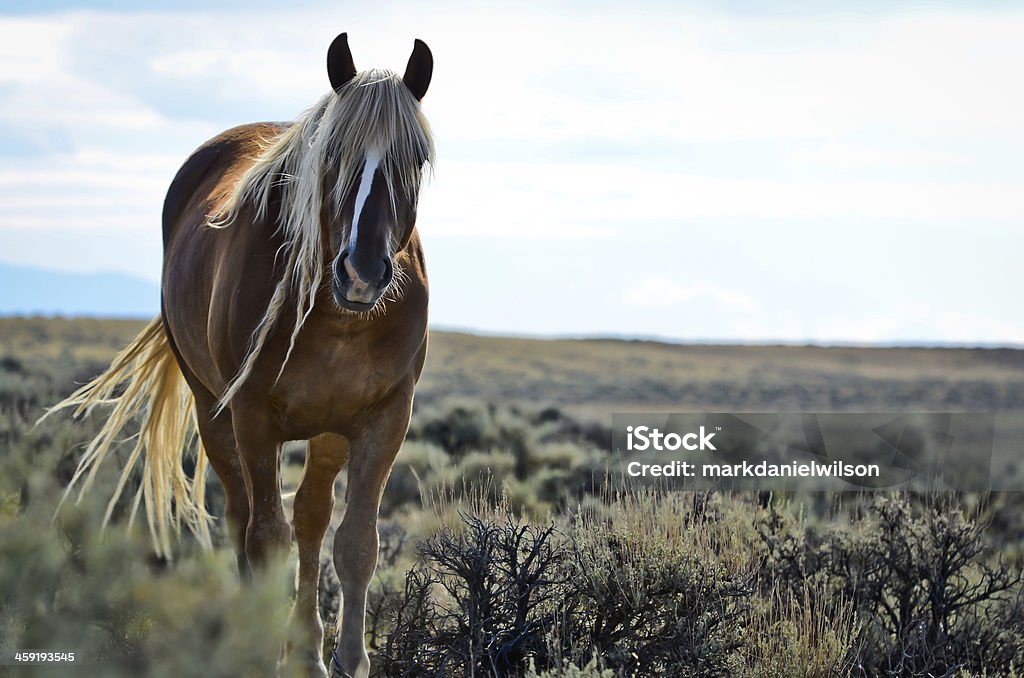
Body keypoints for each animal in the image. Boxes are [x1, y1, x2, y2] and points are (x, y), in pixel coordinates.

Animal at [45, 33, 436, 678]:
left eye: (417, 160)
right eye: (332, 154)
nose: (362, 271)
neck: (339, 321)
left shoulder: (383, 418)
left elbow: (355, 542)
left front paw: (348, 659)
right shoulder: (254, 415)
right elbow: (266, 539)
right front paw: (261, 649)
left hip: (326, 429)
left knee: (310, 519)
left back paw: (308, 650)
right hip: (214, 410)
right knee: (241, 519)